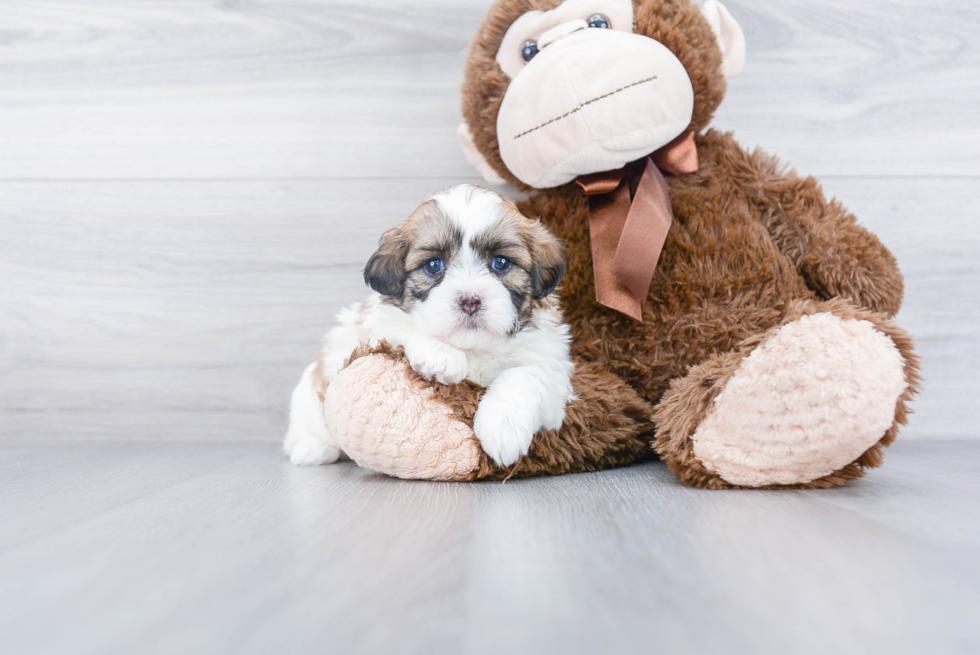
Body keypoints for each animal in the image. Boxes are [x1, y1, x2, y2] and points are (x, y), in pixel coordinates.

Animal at [282, 187, 576, 468]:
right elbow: (403, 329)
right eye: (434, 265)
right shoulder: (374, 329)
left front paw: (502, 429)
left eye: (501, 262)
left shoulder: (552, 370)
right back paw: (313, 447)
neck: (473, 348)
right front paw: (441, 355)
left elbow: (524, 374)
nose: (470, 300)